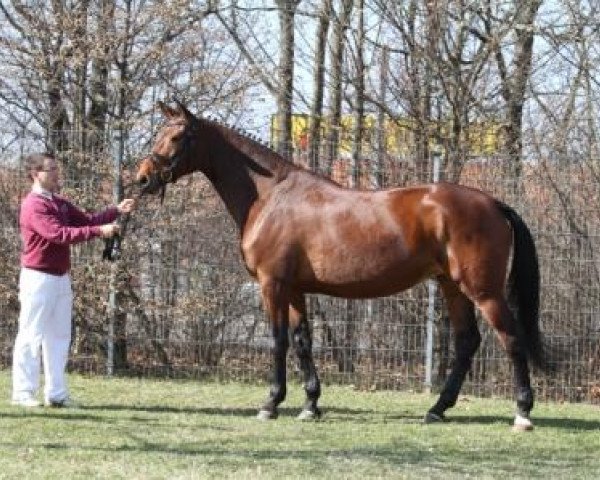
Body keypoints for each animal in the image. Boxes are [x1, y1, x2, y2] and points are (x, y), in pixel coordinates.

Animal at [136, 102, 548, 432]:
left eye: (178, 137)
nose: (142, 178)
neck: (271, 196)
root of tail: (494, 203)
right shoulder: (295, 289)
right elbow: (302, 342)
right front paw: (310, 404)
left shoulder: (273, 284)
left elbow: (278, 340)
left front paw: (271, 403)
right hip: (451, 286)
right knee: (467, 342)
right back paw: (437, 409)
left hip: (483, 291)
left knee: (511, 339)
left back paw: (522, 413)